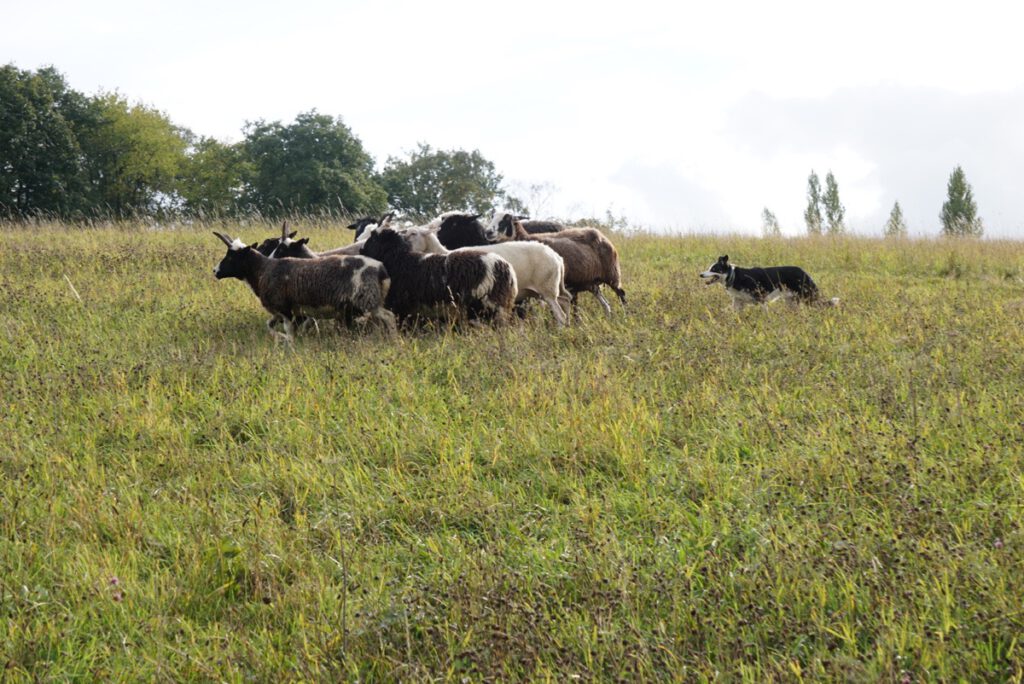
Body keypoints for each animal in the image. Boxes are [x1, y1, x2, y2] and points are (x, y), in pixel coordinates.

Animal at [212, 231, 396, 340]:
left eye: (231, 257)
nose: (215, 271)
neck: (262, 270)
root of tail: (381, 269)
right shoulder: (289, 312)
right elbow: (270, 325)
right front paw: (281, 338)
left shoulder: (284, 308)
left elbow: (289, 332)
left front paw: (289, 344)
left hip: (368, 300)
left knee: (389, 317)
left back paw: (394, 340)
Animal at [358, 227, 517, 326]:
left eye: (374, 238)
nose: (361, 250)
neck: (399, 259)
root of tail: (506, 268)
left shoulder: (400, 305)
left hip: (486, 304)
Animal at [401, 226, 570, 326]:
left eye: (413, 233)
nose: (404, 245)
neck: (443, 254)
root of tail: (557, 257)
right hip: (551, 288)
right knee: (566, 301)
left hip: (547, 288)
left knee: (560, 315)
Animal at [485, 213, 626, 314]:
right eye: (492, 217)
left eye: (506, 219)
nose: (488, 232)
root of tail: (601, 235)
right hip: (591, 283)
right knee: (606, 304)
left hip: (612, 275)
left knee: (622, 294)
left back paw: (625, 316)